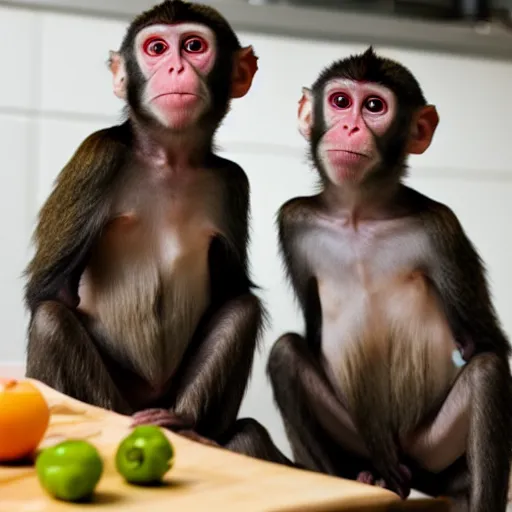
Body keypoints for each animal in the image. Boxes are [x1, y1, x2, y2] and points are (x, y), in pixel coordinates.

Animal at [23, 0, 292, 464]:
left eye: (194, 46)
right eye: (156, 48)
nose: (175, 67)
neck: (170, 158)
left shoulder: (232, 181)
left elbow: (232, 290)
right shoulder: (97, 157)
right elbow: (50, 291)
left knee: (242, 308)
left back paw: (190, 430)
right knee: (51, 320)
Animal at [266, 46, 512, 510]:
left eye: (374, 107)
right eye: (340, 101)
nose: (350, 126)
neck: (358, 214)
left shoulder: (441, 228)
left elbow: (487, 344)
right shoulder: (293, 219)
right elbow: (309, 335)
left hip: (432, 449)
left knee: (488, 373)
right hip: (360, 443)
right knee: (285, 353)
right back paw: (365, 478)